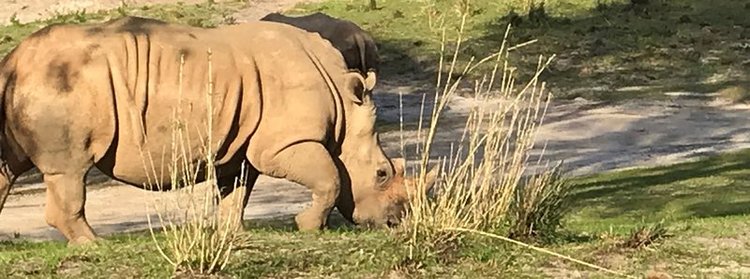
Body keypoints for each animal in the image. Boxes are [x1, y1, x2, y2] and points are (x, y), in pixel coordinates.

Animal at [0, 17, 434, 245]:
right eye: (381, 174)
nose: (393, 223)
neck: (345, 107)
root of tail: (14, 59)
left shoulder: (241, 147)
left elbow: (236, 190)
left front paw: (233, 233)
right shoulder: (283, 143)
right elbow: (329, 177)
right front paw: (306, 227)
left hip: (33, 83)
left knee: (9, 168)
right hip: (60, 85)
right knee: (70, 169)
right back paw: (95, 244)